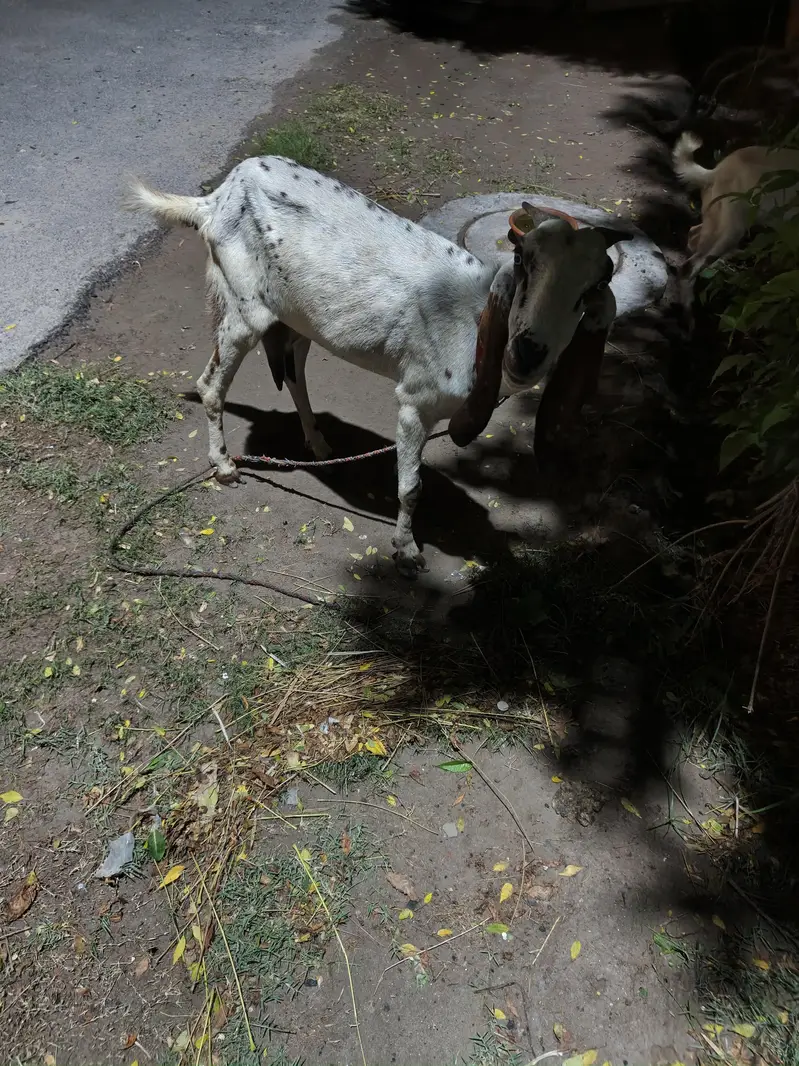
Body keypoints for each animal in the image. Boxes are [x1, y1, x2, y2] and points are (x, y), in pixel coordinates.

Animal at [127, 156, 628, 575]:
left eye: (595, 285)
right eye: (522, 259)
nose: (528, 352)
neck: (469, 317)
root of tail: (216, 198)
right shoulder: (413, 402)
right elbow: (411, 488)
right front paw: (407, 551)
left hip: (299, 318)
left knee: (293, 371)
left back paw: (319, 445)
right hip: (244, 306)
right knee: (211, 383)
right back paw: (226, 466)